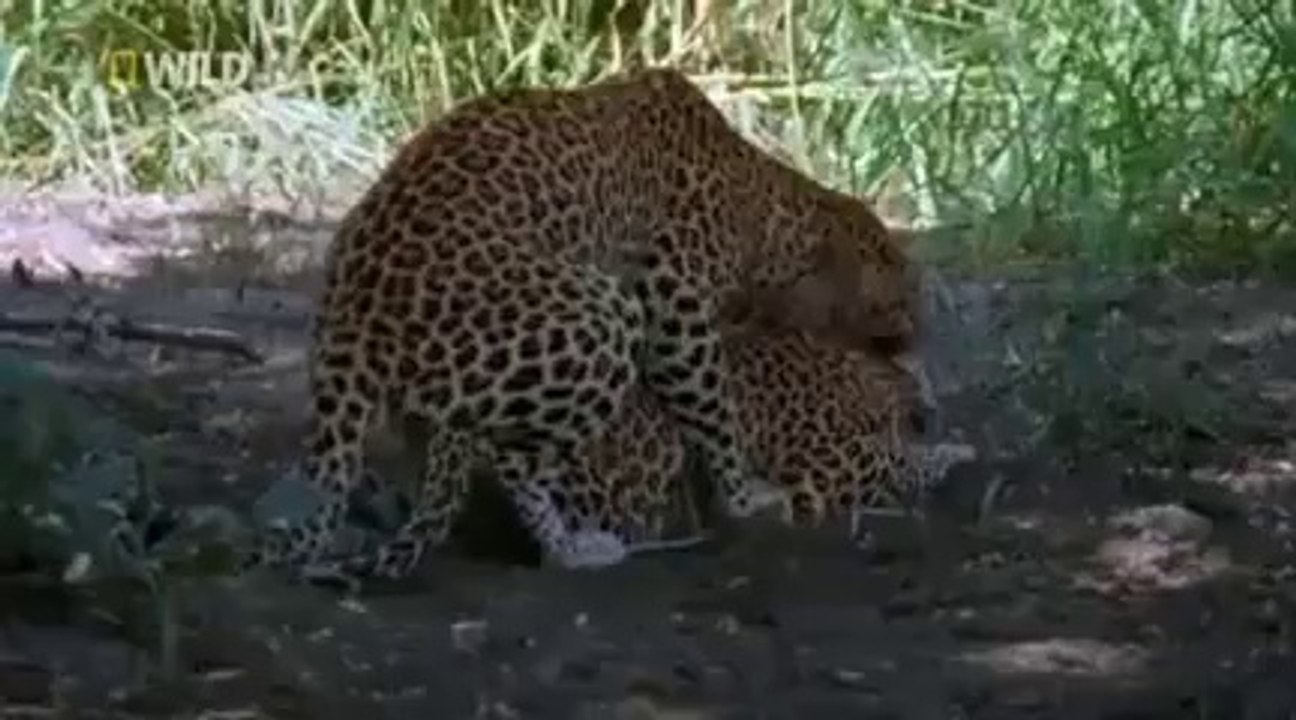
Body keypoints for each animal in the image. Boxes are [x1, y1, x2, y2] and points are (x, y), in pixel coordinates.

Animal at [246, 67, 921, 580]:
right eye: (898, 291)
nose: (915, 340)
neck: (761, 207)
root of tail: (355, 324)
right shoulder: (674, 304)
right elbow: (714, 406)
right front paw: (746, 495)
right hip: (601, 316)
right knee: (514, 460)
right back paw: (573, 548)